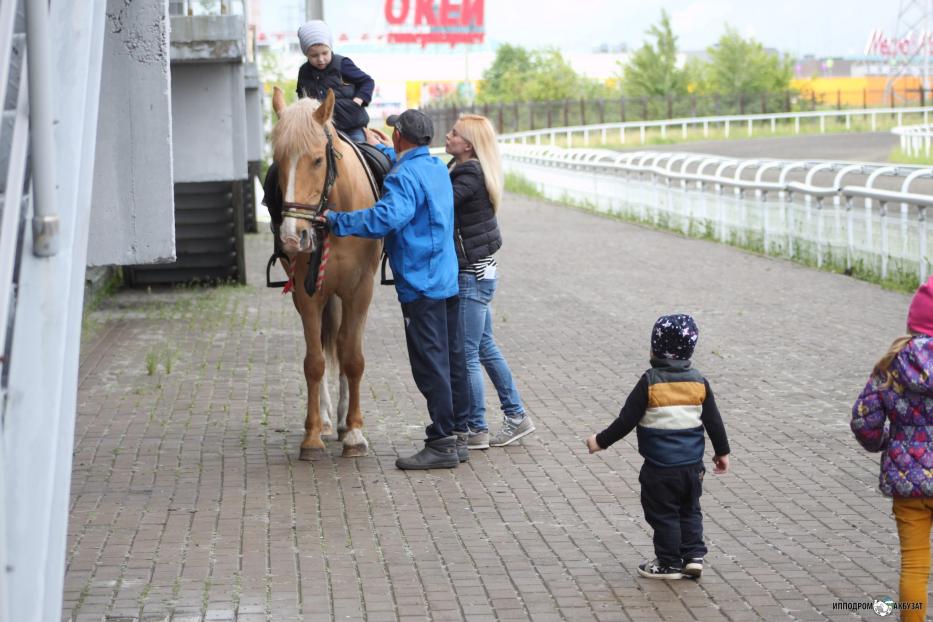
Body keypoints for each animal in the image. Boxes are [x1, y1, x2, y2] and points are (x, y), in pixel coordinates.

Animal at [272, 85, 380, 460]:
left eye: (318, 159)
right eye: (278, 161)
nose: (293, 237)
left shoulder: (360, 290)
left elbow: (353, 358)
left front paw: (356, 433)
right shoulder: (308, 295)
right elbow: (314, 362)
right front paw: (312, 435)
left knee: (346, 345)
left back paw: (346, 422)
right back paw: (329, 421)